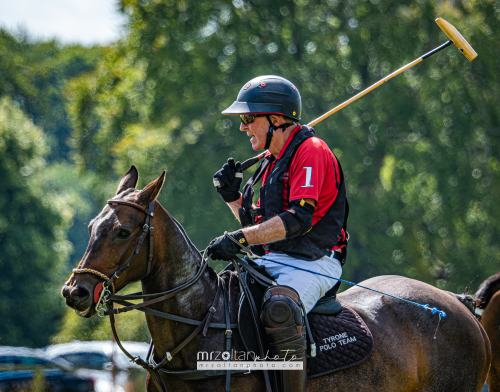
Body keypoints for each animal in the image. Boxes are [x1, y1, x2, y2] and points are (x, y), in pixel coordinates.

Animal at [61, 168, 488, 392]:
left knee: (282, 310)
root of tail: (457, 304)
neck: (198, 326)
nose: (74, 292)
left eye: (122, 231)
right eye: (91, 226)